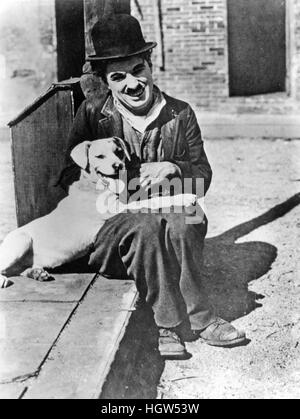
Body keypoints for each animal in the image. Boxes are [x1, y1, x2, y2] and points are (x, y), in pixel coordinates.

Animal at [0, 138, 197, 288]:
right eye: (99, 156)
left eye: (119, 152)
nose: (118, 165)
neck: (95, 185)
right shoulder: (120, 208)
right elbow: (149, 201)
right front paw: (185, 197)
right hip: (21, 241)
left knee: (19, 270)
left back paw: (37, 273)